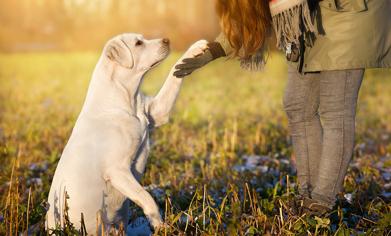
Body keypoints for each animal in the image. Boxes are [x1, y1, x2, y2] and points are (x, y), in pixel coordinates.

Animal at [46, 33, 208, 234]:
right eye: (138, 43)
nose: (167, 40)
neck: (126, 99)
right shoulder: (117, 170)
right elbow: (146, 197)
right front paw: (160, 225)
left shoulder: (157, 112)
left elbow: (174, 73)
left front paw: (196, 48)